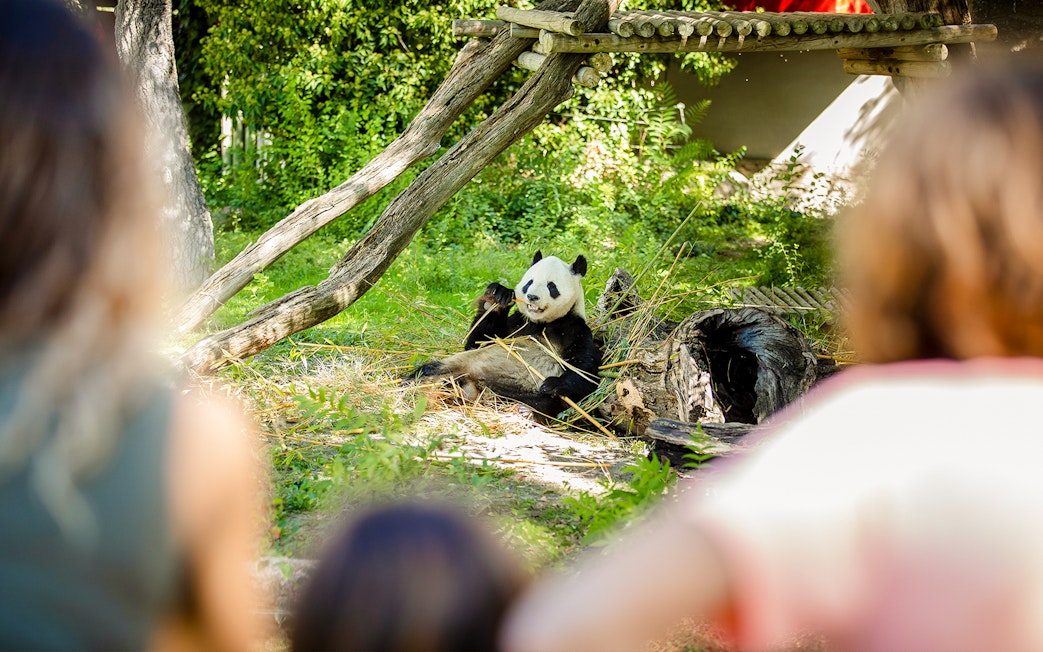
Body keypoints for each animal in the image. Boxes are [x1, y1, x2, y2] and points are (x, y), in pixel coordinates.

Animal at [410, 251, 602, 417]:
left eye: (551, 286)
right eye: (529, 283)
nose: (532, 297)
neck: (541, 323)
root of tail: (474, 385)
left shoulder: (574, 329)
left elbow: (585, 370)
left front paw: (553, 384)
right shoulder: (516, 324)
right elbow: (478, 342)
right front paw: (497, 296)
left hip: (521, 390)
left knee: (541, 402)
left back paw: (524, 410)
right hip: (455, 366)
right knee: (428, 370)